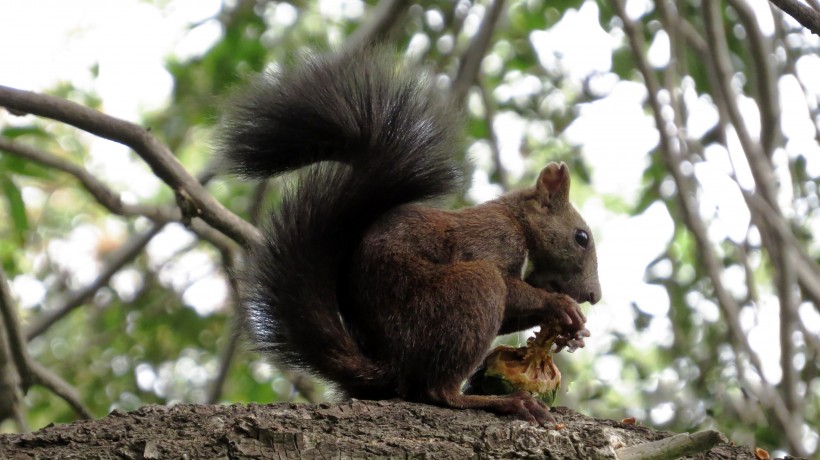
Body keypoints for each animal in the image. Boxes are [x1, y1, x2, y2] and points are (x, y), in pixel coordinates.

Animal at [218, 47, 604, 424]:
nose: (594, 295)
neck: (517, 220)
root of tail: (391, 364)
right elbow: (512, 291)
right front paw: (559, 306)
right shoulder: (491, 239)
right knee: (436, 391)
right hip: (464, 295)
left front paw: (576, 332)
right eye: (581, 237)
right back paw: (501, 402)